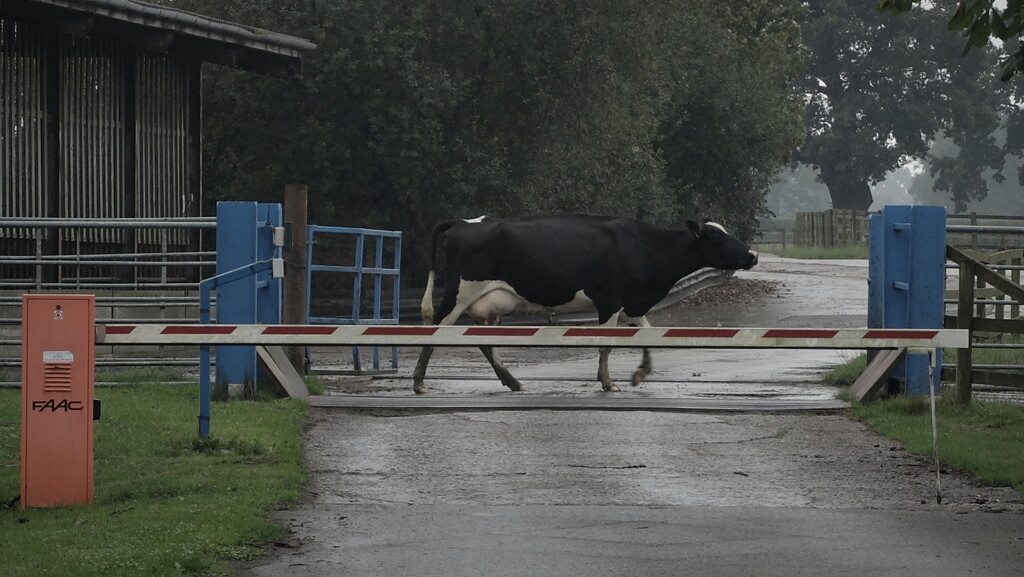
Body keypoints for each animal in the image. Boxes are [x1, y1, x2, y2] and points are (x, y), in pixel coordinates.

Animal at [411, 214, 757, 395]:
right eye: (719, 238)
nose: (752, 255)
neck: (645, 247)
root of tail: (465, 222)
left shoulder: (631, 303)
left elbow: (646, 333)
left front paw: (641, 373)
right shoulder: (610, 301)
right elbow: (607, 344)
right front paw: (607, 382)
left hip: (489, 304)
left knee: (485, 343)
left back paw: (513, 382)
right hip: (459, 293)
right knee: (433, 333)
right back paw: (418, 384)